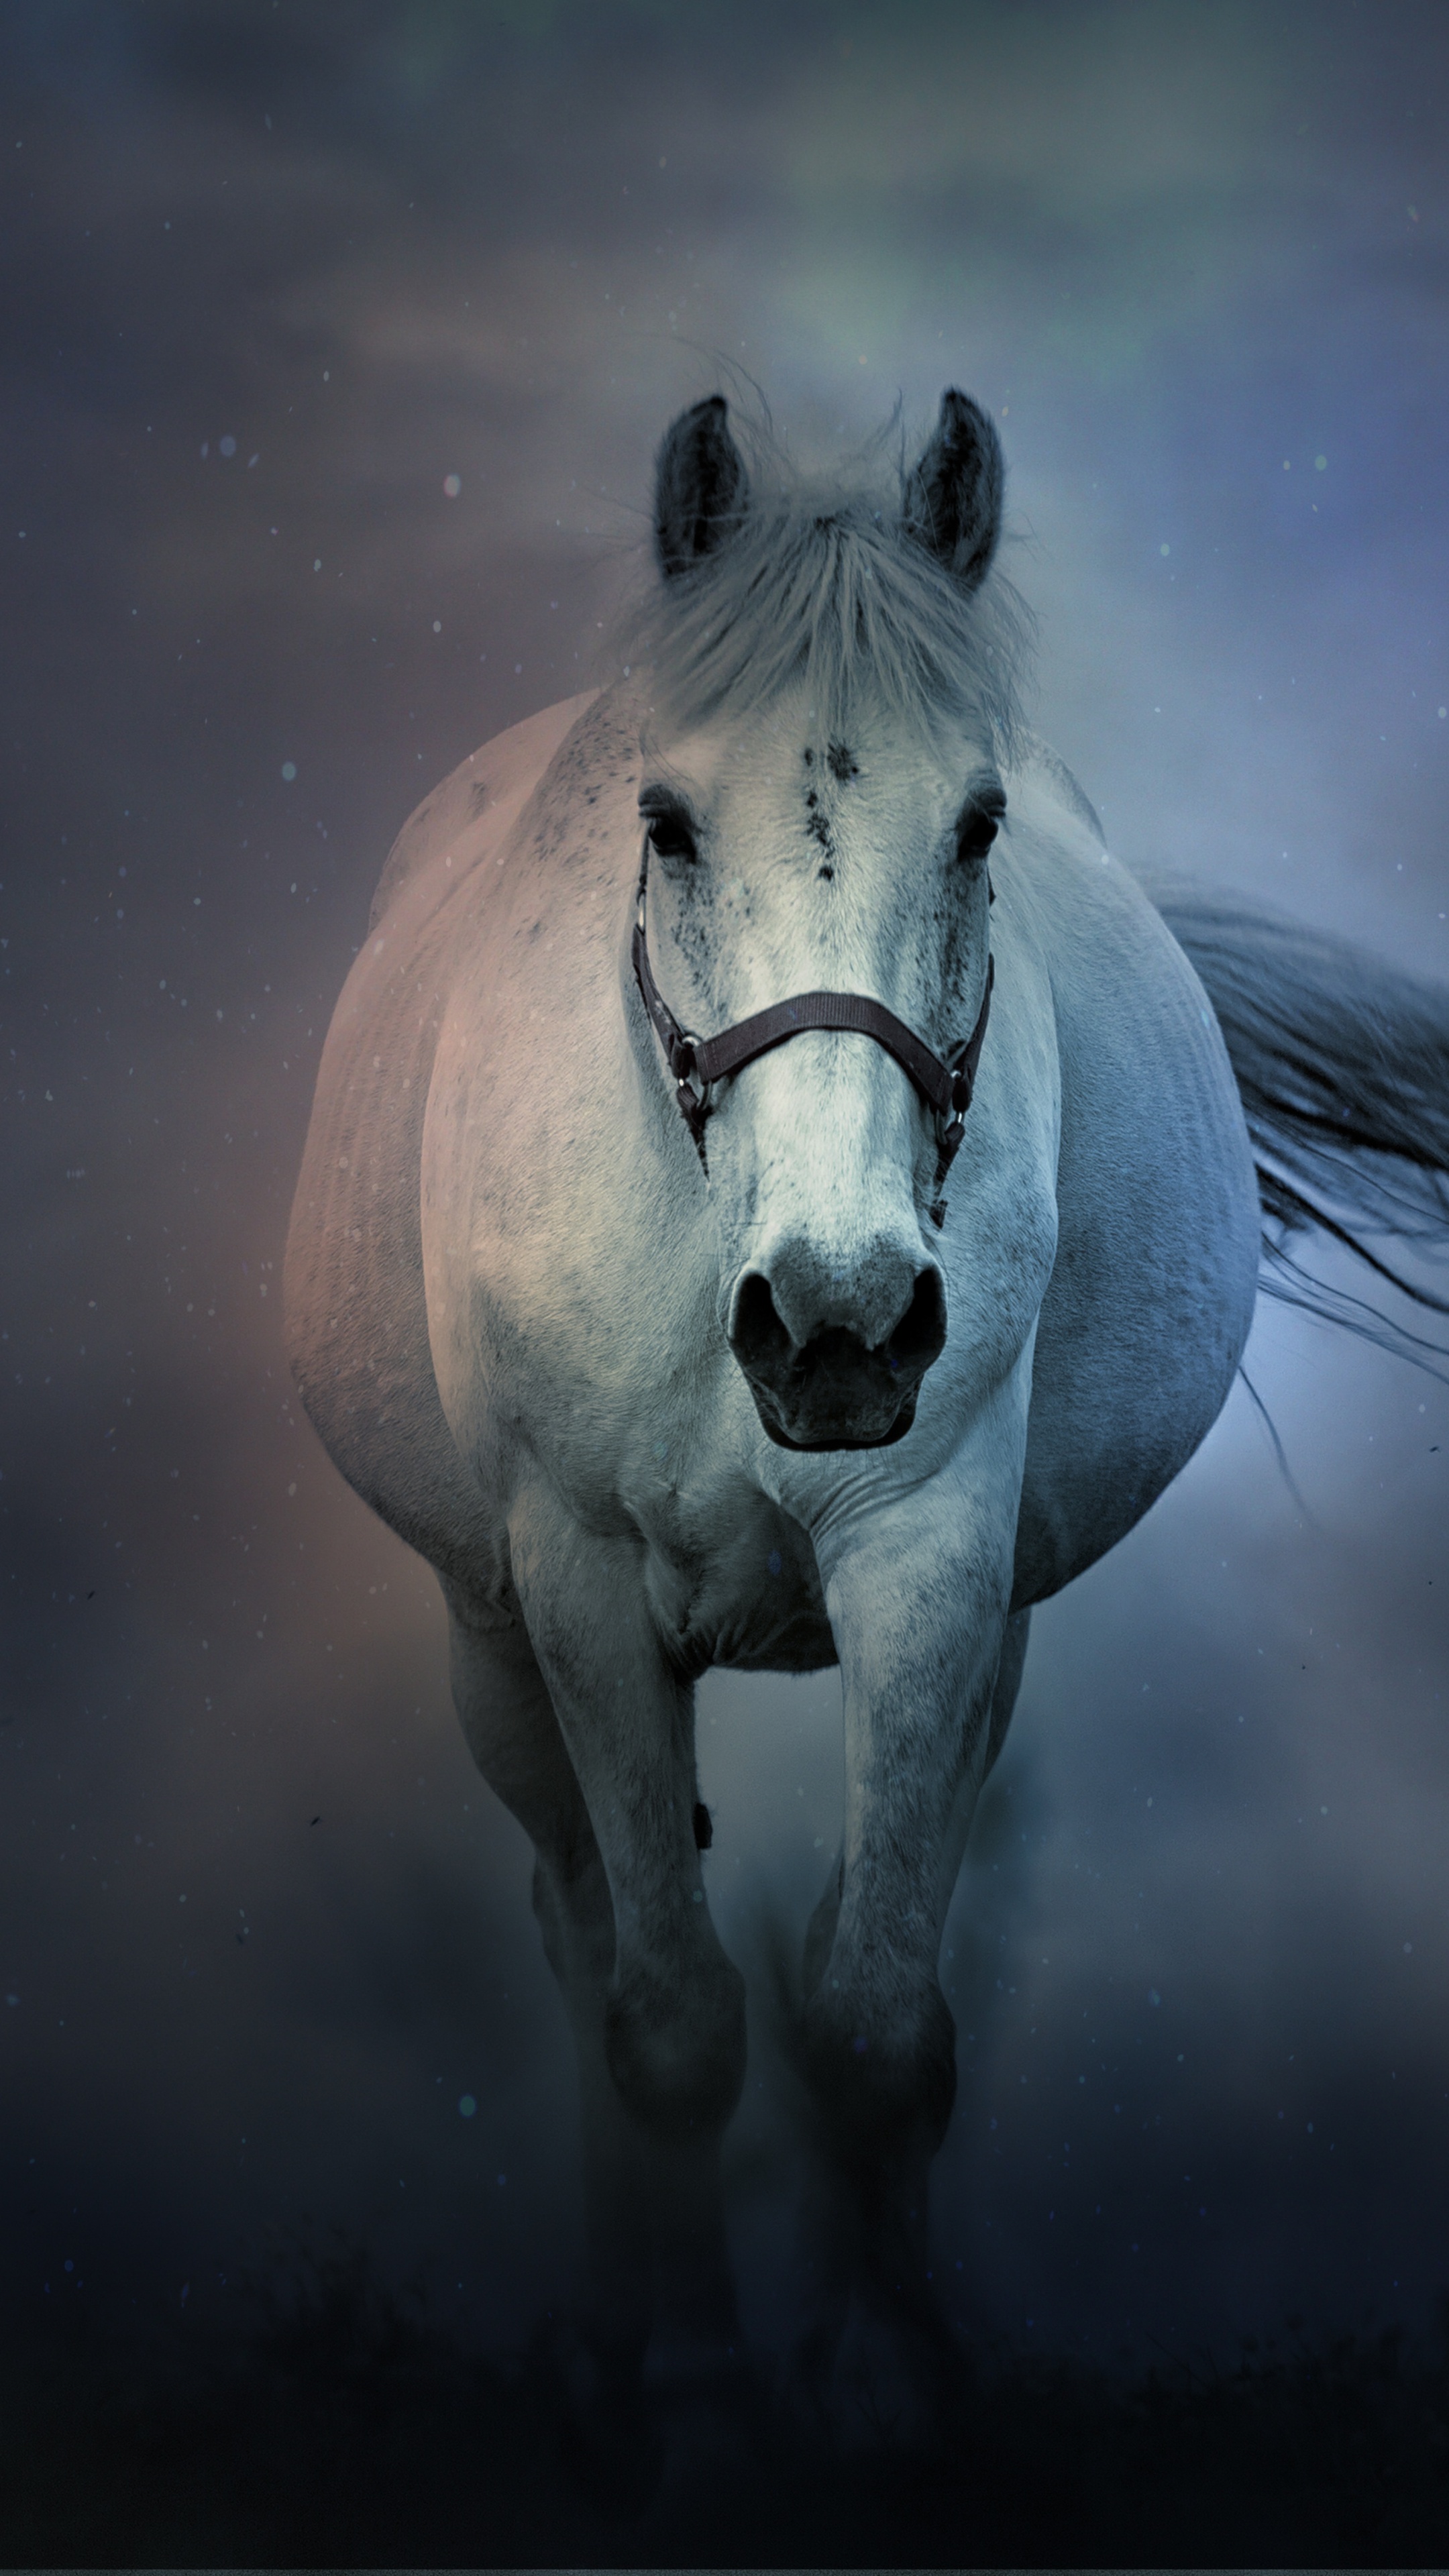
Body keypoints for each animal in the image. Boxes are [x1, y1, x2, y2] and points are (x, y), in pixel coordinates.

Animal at [284, 388, 1449, 2442]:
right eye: (664, 821)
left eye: (979, 825)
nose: (836, 1326)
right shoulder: (577, 1586)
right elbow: (669, 2017)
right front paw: (691, 2396)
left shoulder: (932, 1568)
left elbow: (878, 2012)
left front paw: (891, 2385)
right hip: (489, 1647)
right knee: (578, 1929)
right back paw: (612, 2335)